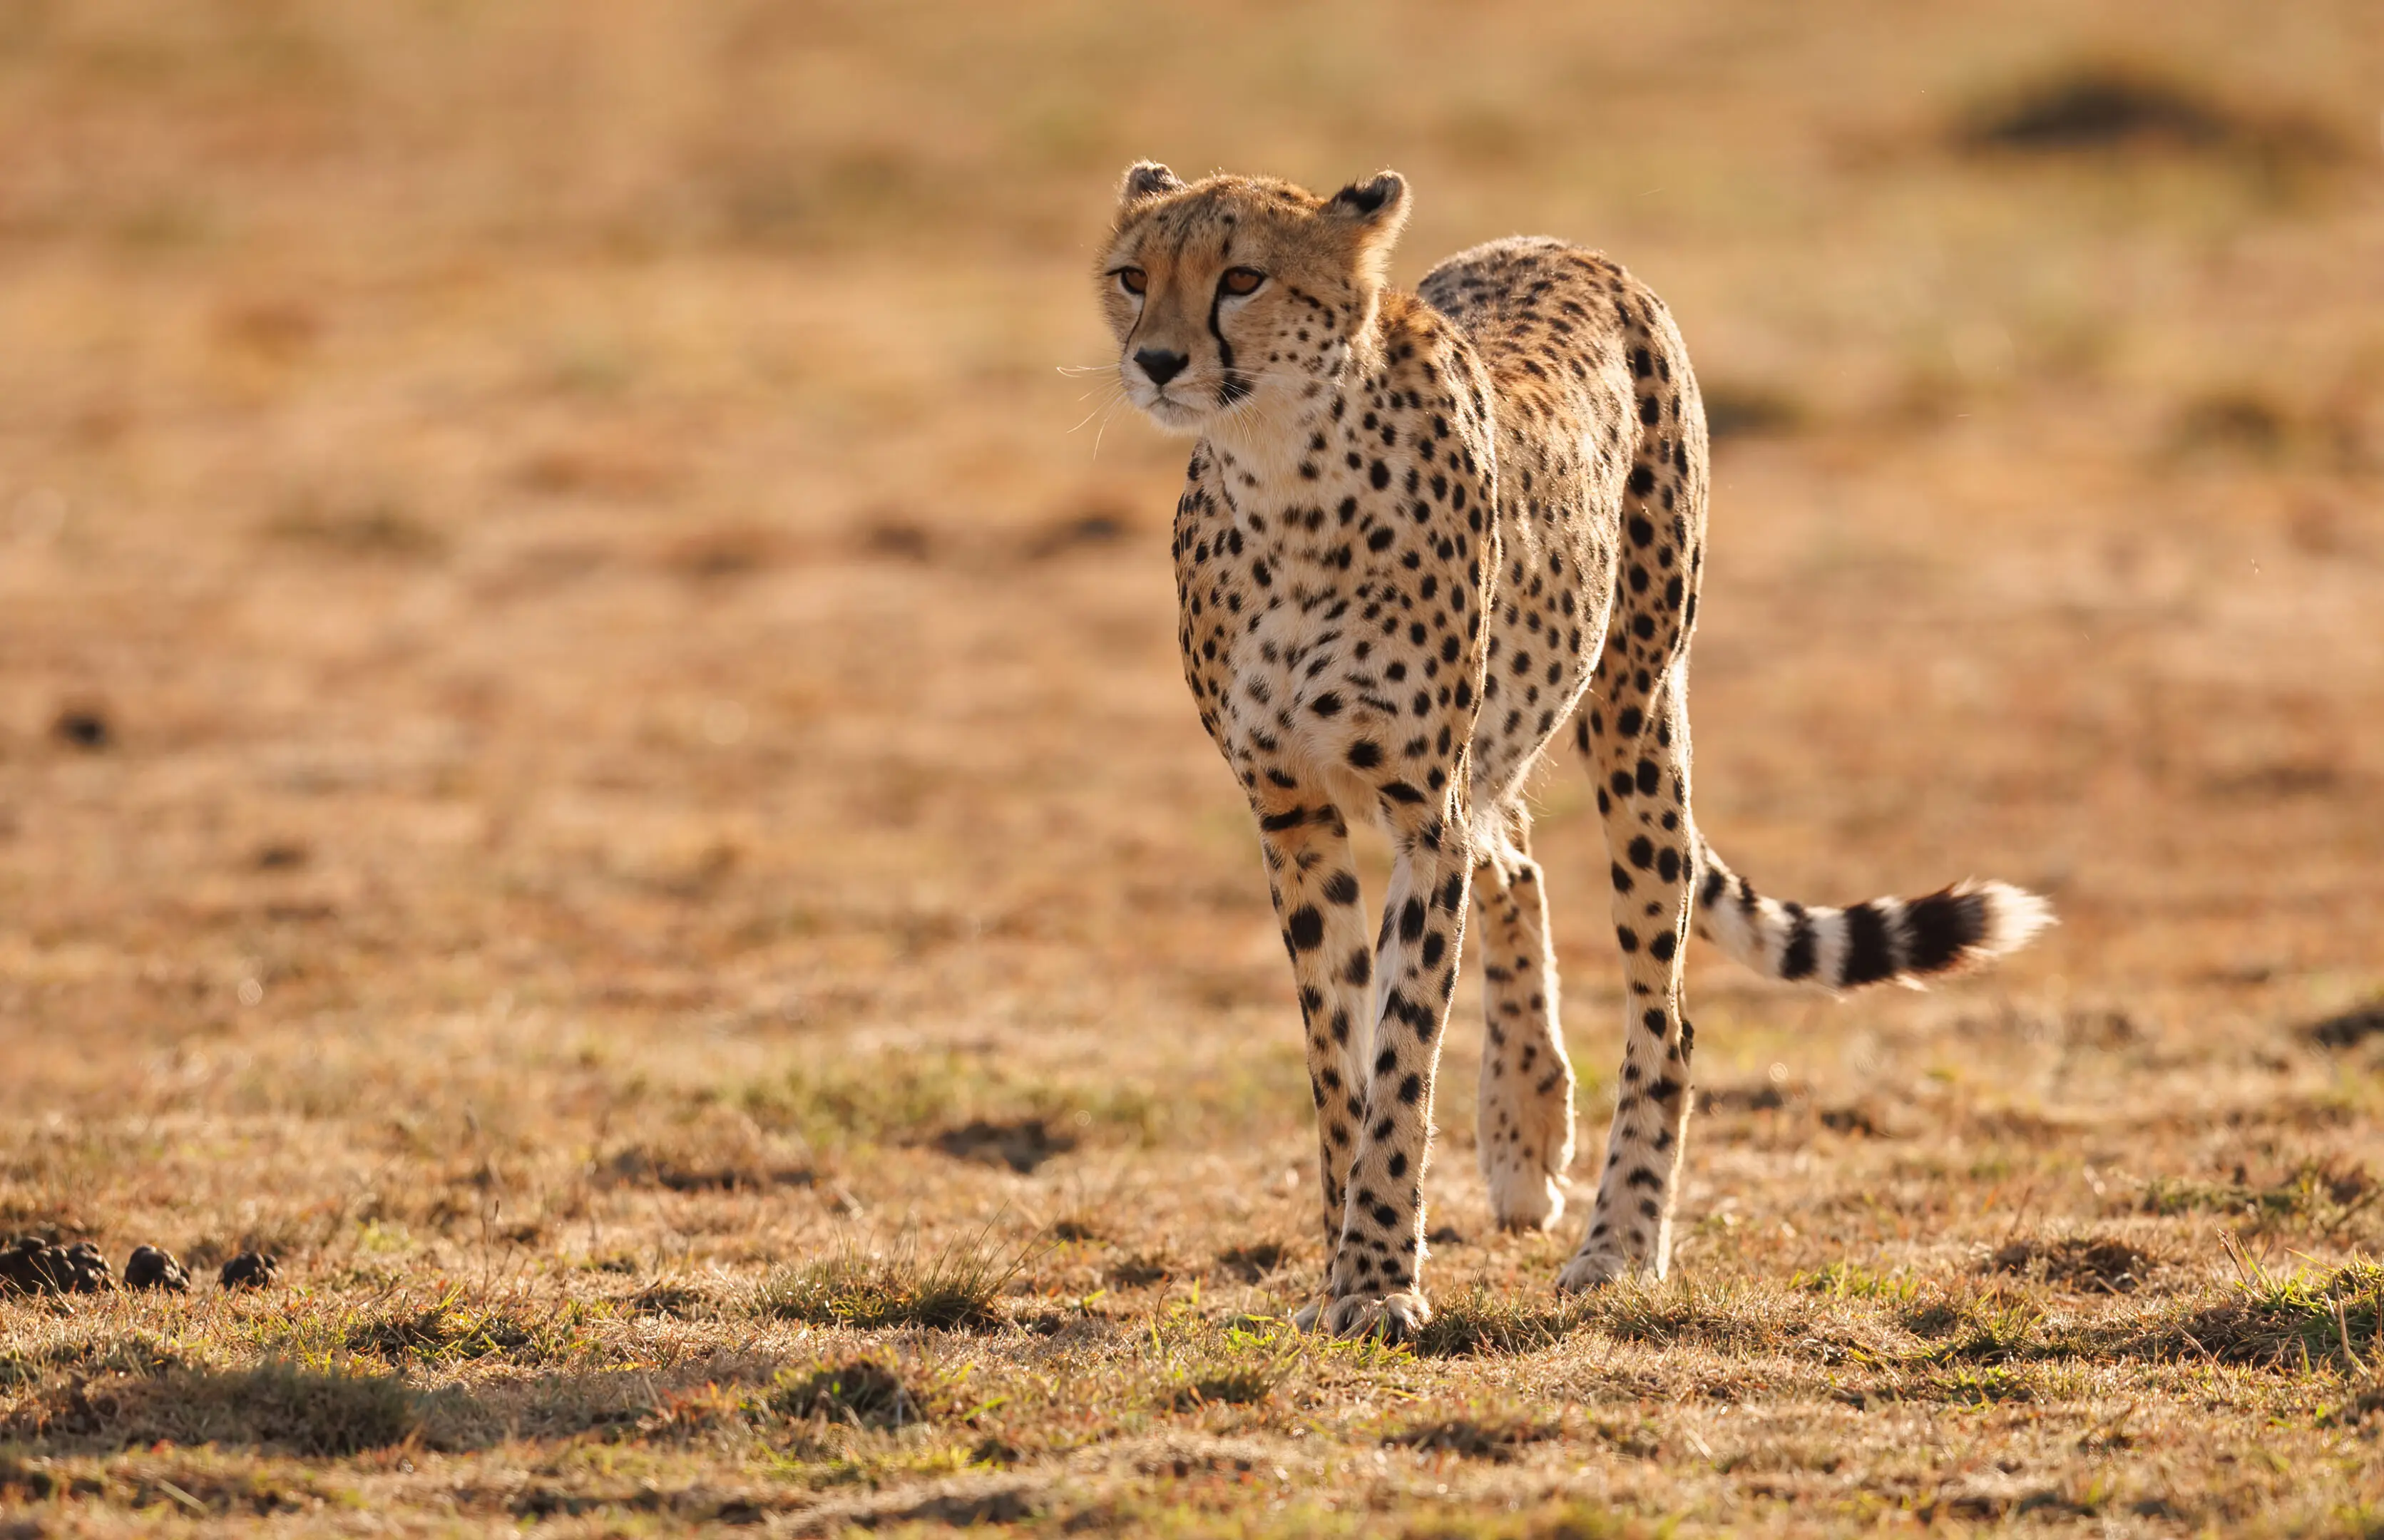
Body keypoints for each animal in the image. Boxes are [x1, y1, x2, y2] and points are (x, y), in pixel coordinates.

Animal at [1093, 162, 2052, 1339]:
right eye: (1132, 276)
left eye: (1240, 278)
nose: (1155, 360)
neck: (1284, 478)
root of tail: (1558, 245)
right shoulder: (1291, 809)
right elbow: (1339, 1054)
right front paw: (1341, 1265)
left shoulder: (1419, 809)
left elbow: (1402, 1052)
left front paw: (1378, 1275)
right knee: (1515, 862)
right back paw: (1523, 1131)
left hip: (1636, 713)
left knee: (1662, 1015)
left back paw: (1621, 1241)